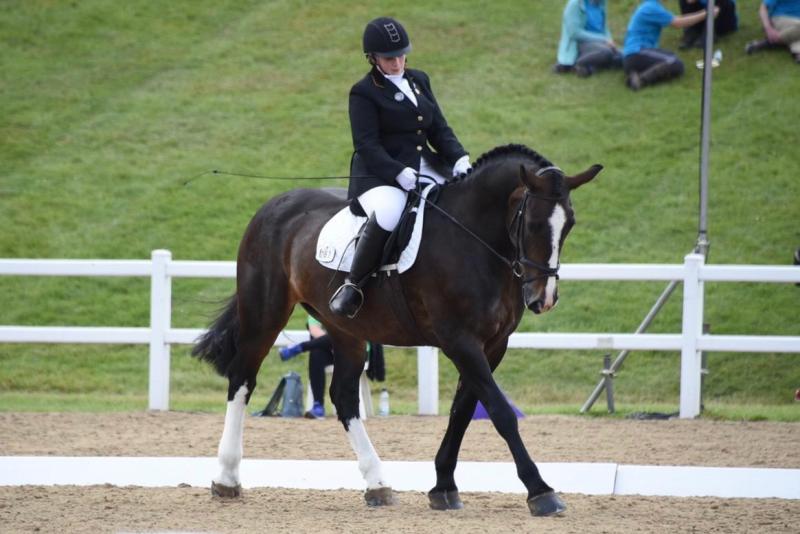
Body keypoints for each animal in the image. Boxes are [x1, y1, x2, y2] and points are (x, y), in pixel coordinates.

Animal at [192, 144, 600, 516]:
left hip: (345, 329)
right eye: (532, 223)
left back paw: (378, 483)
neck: (474, 239)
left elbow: (463, 411)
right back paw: (226, 478)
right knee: (242, 380)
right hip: (264, 314)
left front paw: (443, 487)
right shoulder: (460, 340)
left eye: (570, 224)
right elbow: (500, 412)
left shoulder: (493, 345)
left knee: (343, 396)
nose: (543, 299)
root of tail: (274, 205)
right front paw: (541, 491)